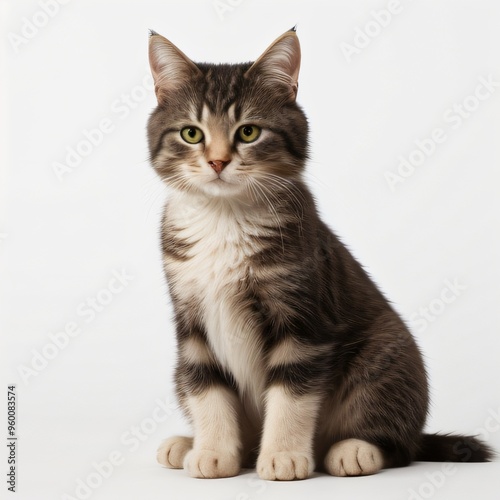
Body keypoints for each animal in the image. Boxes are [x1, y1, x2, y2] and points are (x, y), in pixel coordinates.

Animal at [146, 28, 494, 480]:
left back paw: (356, 449)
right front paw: (213, 451)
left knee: (400, 442)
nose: (218, 161)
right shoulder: (189, 315)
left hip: (387, 353)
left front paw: (283, 456)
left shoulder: (304, 313)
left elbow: (294, 388)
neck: (225, 217)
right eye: (191, 133)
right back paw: (188, 444)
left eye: (248, 132)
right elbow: (205, 383)